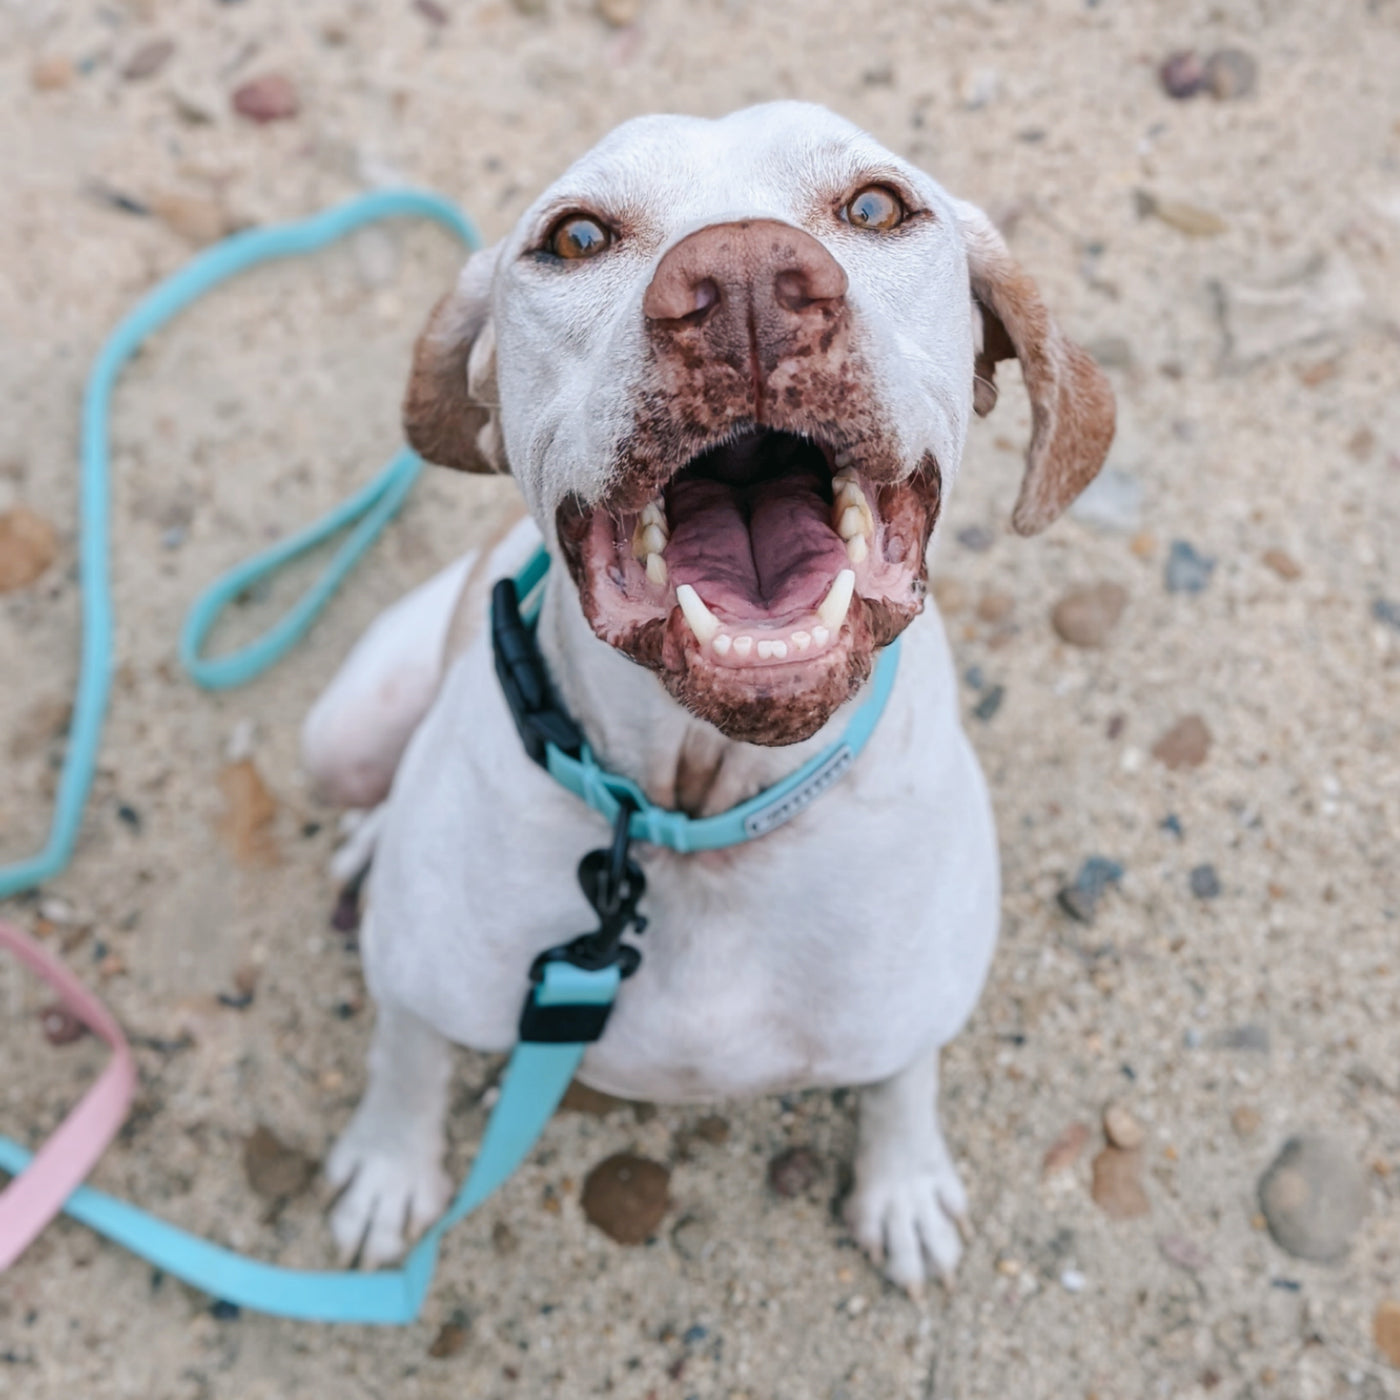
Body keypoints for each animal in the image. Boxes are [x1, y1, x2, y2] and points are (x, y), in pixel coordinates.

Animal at [306, 106, 1114, 1288]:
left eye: (877, 206)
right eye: (576, 236)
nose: (741, 278)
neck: (697, 815)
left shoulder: (910, 1004)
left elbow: (901, 1080)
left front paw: (903, 1183)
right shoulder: (419, 982)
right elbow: (403, 1064)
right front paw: (383, 1169)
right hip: (342, 728)